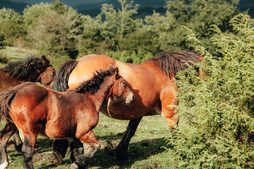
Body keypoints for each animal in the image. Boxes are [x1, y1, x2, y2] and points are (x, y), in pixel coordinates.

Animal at [0, 66, 135, 168]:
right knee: (27, 153)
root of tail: (15, 92)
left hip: (12, 125)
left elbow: (78, 150)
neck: (89, 99)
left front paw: (78, 163)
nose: (132, 97)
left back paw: (4, 163)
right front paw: (78, 163)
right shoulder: (84, 132)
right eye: (124, 83)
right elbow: (96, 146)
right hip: (30, 131)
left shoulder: (76, 134)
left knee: (3, 138)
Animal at [50, 49, 202, 161]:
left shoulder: (139, 112)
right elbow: (174, 130)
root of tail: (77, 62)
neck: (165, 73)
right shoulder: (170, 112)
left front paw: (121, 153)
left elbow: (130, 131)